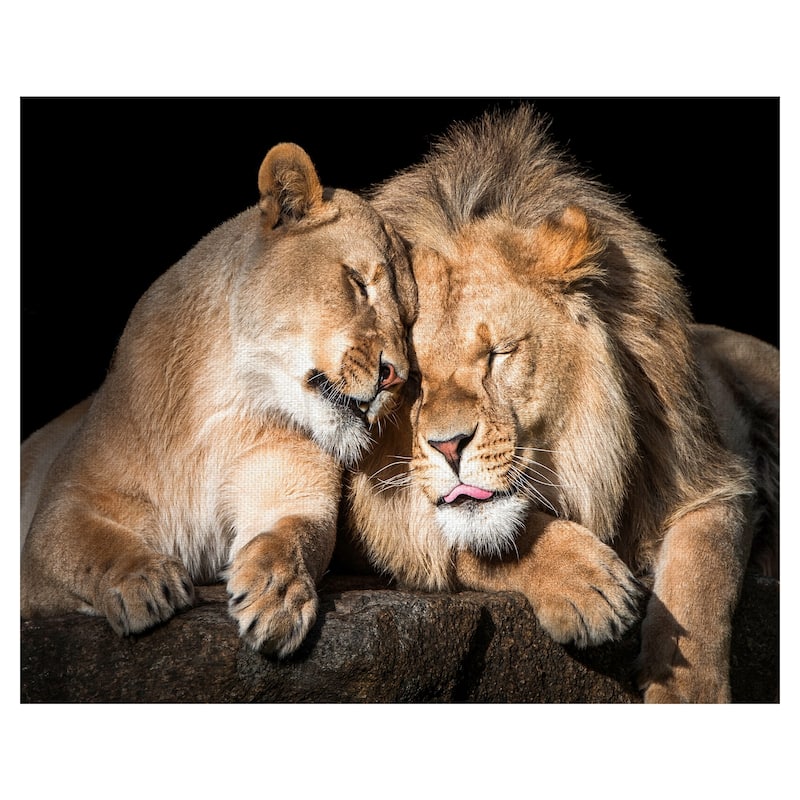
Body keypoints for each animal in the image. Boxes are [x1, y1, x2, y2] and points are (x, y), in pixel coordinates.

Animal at [20, 142, 416, 658]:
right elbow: (87, 544)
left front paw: (278, 595)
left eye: (409, 321)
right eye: (357, 282)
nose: (396, 376)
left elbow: (291, 537)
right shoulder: (62, 508)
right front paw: (144, 581)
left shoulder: (294, 491)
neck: (227, 402)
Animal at [344, 106, 779, 702]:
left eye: (499, 353)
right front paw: (586, 585)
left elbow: (701, 579)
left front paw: (688, 692)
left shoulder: (709, 476)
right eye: (408, 379)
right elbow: (473, 538)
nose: (449, 446)